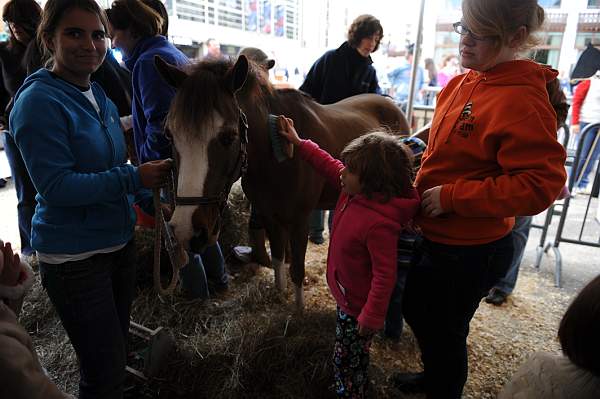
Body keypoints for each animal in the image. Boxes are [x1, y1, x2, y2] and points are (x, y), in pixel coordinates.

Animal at [155, 54, 410, 308]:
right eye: (169, 134)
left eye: (228, 136)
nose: (187, 230)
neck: (274, 156)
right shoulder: (269, 215)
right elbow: (278, 257)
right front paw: (279, 292)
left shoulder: (299, 221)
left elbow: (297, 269)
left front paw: (298, 309)